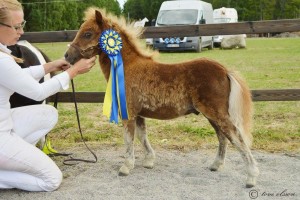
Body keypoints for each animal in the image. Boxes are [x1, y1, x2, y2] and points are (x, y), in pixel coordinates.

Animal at [64, 7, 258, 188]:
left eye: (88, 33)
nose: (67, 56)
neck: (126, 67)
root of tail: (224, 70)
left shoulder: (129, 113)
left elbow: (129, 138)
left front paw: (126, 167)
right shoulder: (139, 114)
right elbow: (142, 136)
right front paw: (149, 161)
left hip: (217, 114)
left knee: (236, 137)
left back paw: (251, 177)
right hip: (211, 115)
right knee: (222, 137)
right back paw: (216, 165)